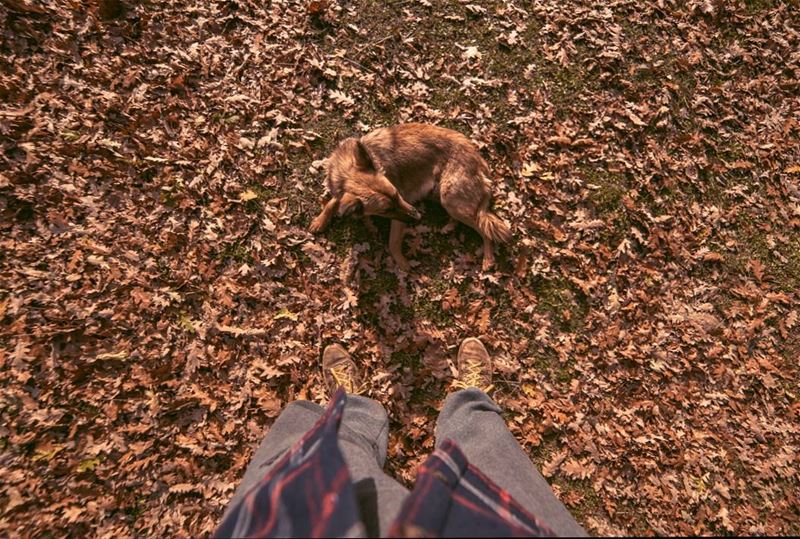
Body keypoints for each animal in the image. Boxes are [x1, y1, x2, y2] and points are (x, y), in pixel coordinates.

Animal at [310, 124, 510, 272]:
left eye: (397, 194)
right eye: (386, 209)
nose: (418, 217)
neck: (344, 173)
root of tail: (481, 164)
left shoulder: (401, 214)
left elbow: (392, 243)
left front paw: (402, 263)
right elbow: (333, 202)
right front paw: (320, 221)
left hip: (450, 197)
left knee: (483, 228)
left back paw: (488, 258)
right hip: (442, 195)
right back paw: (449, 227)